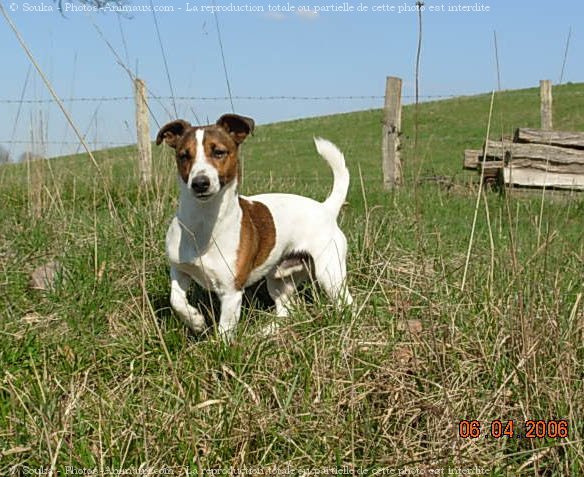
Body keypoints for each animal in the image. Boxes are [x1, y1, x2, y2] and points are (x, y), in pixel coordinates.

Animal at [155, 113, 354, 340]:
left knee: (346, 303)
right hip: (279, 279)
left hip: (329, 272)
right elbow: (176, 300)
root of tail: (326, 208)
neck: (203, 223)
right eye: (184, 156)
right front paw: (195, 321)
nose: (200, 183)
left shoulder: (231, 292)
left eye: (218, 152)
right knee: (287, 310)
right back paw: (265, 332)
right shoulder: (179, 270)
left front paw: (220, 346)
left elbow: (225, 331)